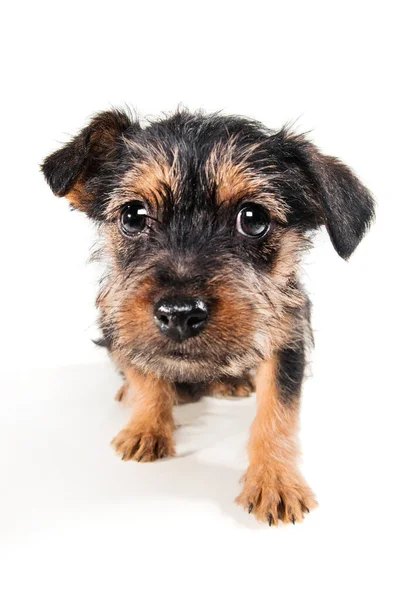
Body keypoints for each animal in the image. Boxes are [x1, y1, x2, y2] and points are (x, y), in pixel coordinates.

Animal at [42, 109, 374, 524]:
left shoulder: (286, 337)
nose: (179, 313)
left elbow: (278, 409)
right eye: (133, 215)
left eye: (253, 218)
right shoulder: (117, 322)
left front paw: (275, 479)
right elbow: (145, 373)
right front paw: (146, 426)